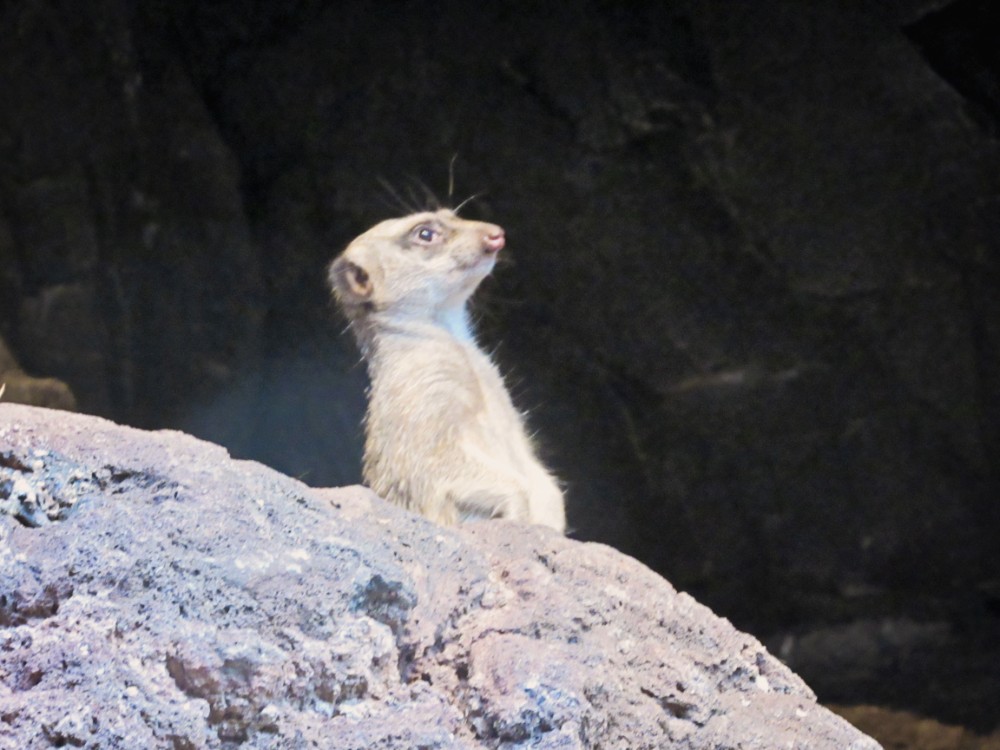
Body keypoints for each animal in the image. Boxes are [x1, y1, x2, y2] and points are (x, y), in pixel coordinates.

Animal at [328, 208, 566, 532]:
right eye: (425, 233)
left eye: (452, 215)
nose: (496, 234)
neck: (457, 346)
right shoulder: (421, 397)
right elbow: (437, 463)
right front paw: (520, 515)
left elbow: (539, 476)